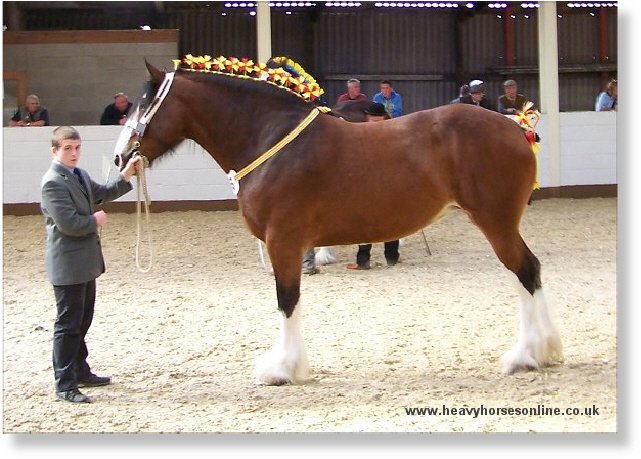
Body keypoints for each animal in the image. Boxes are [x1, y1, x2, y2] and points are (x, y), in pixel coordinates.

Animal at [114, 59, 560, 386]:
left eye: (143, 104)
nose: (120, 158)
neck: (270, 141)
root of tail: (515, 128)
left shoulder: (283, 241)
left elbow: (287, 300)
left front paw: (285, 369)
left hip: (496, 222)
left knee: (524, 271)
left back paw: (526, 356)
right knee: (529, 271)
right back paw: (546, 350)